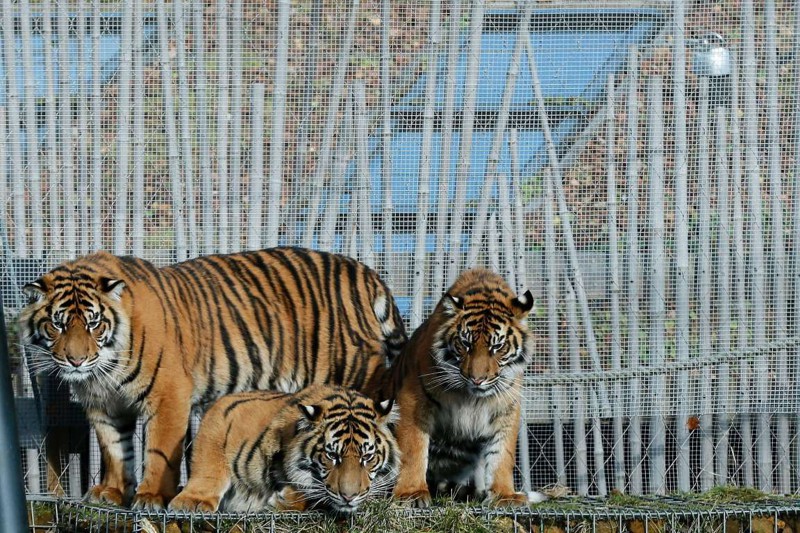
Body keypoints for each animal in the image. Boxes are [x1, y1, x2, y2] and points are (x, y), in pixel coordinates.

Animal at [168, 382, 396, 512]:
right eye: (332, 456)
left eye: (367, 457)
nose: (349, 497)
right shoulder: (224, 412)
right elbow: (209, 464)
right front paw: (192, 502)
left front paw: (284, 499)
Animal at [390, 268, 536, 504]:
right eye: (465, 343)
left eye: (497, 346)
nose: (477, 379)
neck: (471, 396)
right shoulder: (413, 397)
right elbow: (413, 447)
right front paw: (411, 492)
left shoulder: (506, 405)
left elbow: (503, 452)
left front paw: (504, 494)